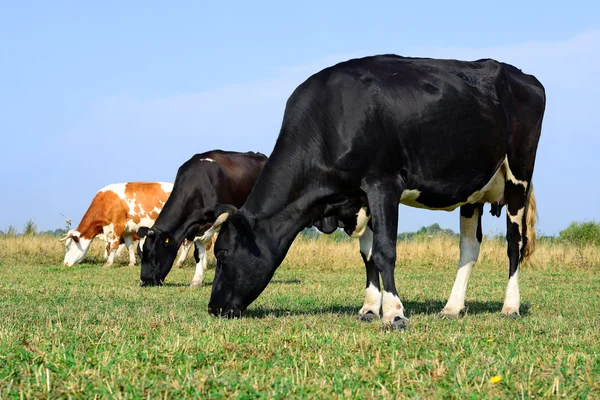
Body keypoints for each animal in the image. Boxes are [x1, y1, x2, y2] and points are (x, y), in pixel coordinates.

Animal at [138, 151, 268, 288]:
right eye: (140, 255)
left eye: (152, 255)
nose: (143, 281)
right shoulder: (195, 227)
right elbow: (198, 253)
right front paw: (197, 279)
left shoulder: (226, 214)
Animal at [205, 54, 544, 328]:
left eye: (222, 253)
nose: (213, 308)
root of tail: (522, 75)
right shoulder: (360, 196)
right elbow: (367, 255)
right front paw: (369, 308)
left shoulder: (383, 184)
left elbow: (385, 251)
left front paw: (394, 313)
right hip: (472, 190)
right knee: (469, 247)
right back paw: (452, 307)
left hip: (518, 175)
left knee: (514, 243)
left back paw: (510, 307)